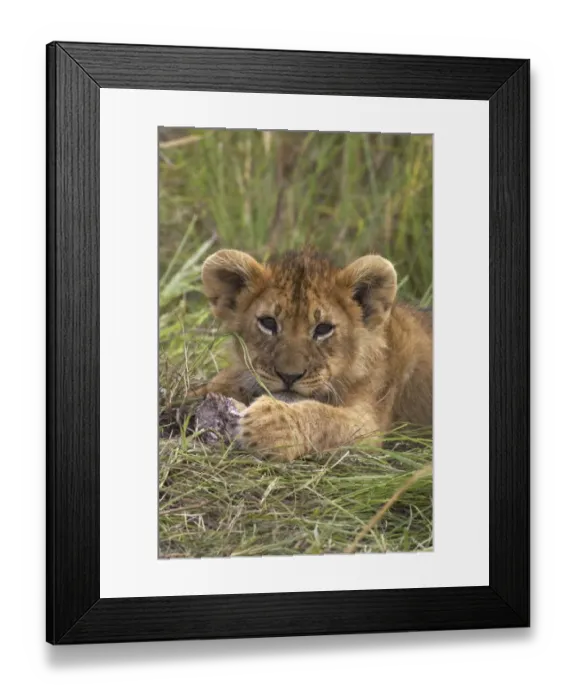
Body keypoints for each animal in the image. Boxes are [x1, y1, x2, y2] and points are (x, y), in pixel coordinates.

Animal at [192, 247, 432, 461]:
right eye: (268, 323)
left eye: (323, 328)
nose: (289, 376)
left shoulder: (369, 427)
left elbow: (327, 419)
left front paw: (271, 424)